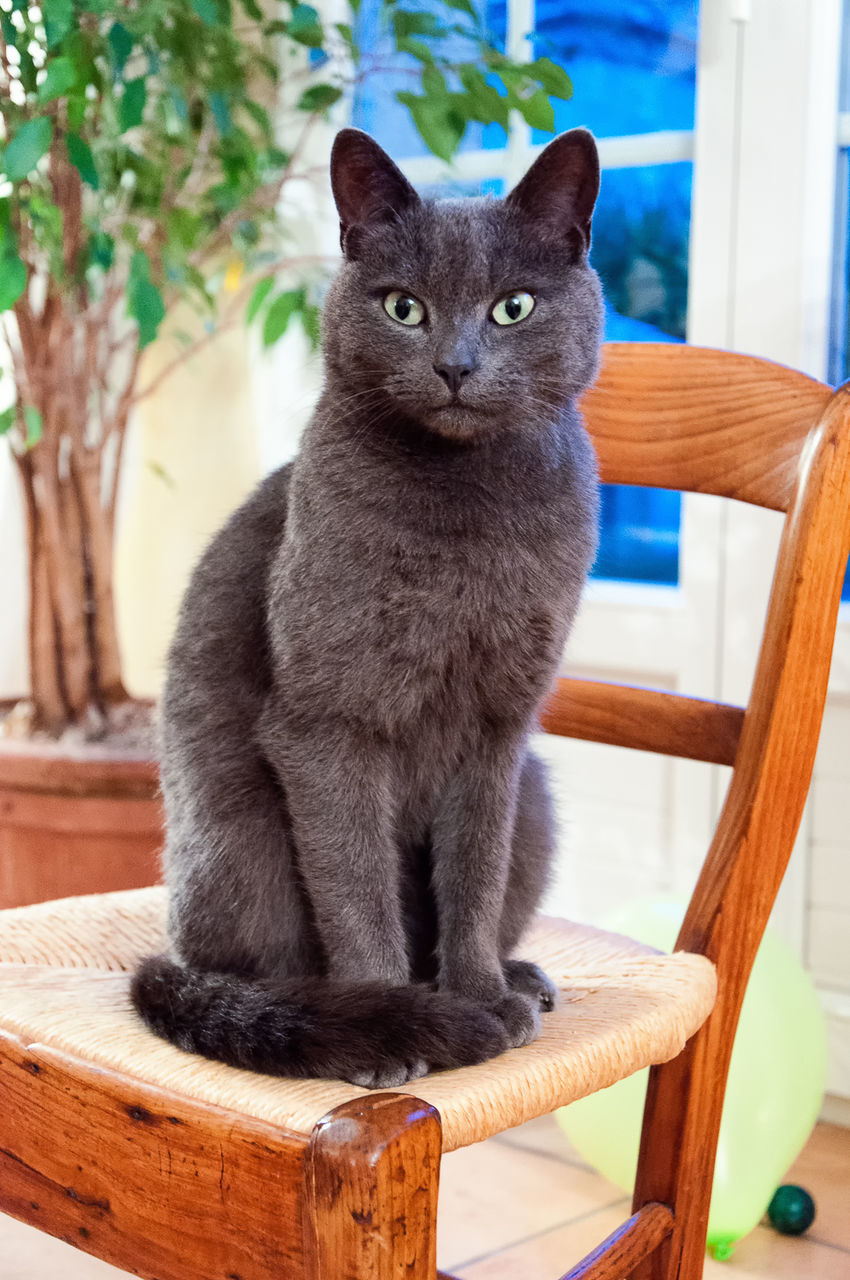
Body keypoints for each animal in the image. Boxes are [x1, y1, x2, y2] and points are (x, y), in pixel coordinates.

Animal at [129, 124, 601, 1085]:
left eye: (513, 308)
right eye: (403, 308)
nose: (455, 366)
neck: (468, 518)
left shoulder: (499, 731)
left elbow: (474, 872)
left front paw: (473, 990)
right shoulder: (326, 724)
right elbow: (354, 884)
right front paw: (397, 1022)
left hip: (535, 795)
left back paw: (516, 978)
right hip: (240, 831)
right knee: (253, 963)